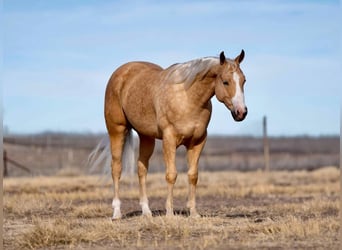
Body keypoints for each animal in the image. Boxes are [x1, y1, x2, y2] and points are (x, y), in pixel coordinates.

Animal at [105, 50, 247, 219]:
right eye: (225, 82)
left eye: (244, 81)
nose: (241, 112)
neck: (188, 98)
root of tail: (121, 72)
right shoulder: (169, 140)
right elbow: (171, 175)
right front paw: (170, 213)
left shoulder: (197, 142)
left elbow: (193, 175)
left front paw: (193, 213)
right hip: (116, 130)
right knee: (116, 168)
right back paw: (116, 212)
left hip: (146, 137)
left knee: (141, 169)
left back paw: (146, 211)